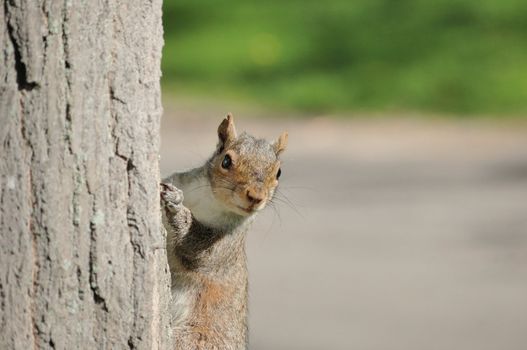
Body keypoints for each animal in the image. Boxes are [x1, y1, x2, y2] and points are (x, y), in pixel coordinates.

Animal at [161, 113, 288, 348]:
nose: (256, 197)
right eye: (226, 161)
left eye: (279, 173)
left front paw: (177, 208)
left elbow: (199, 253)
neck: (210, 201)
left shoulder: (227, 245)